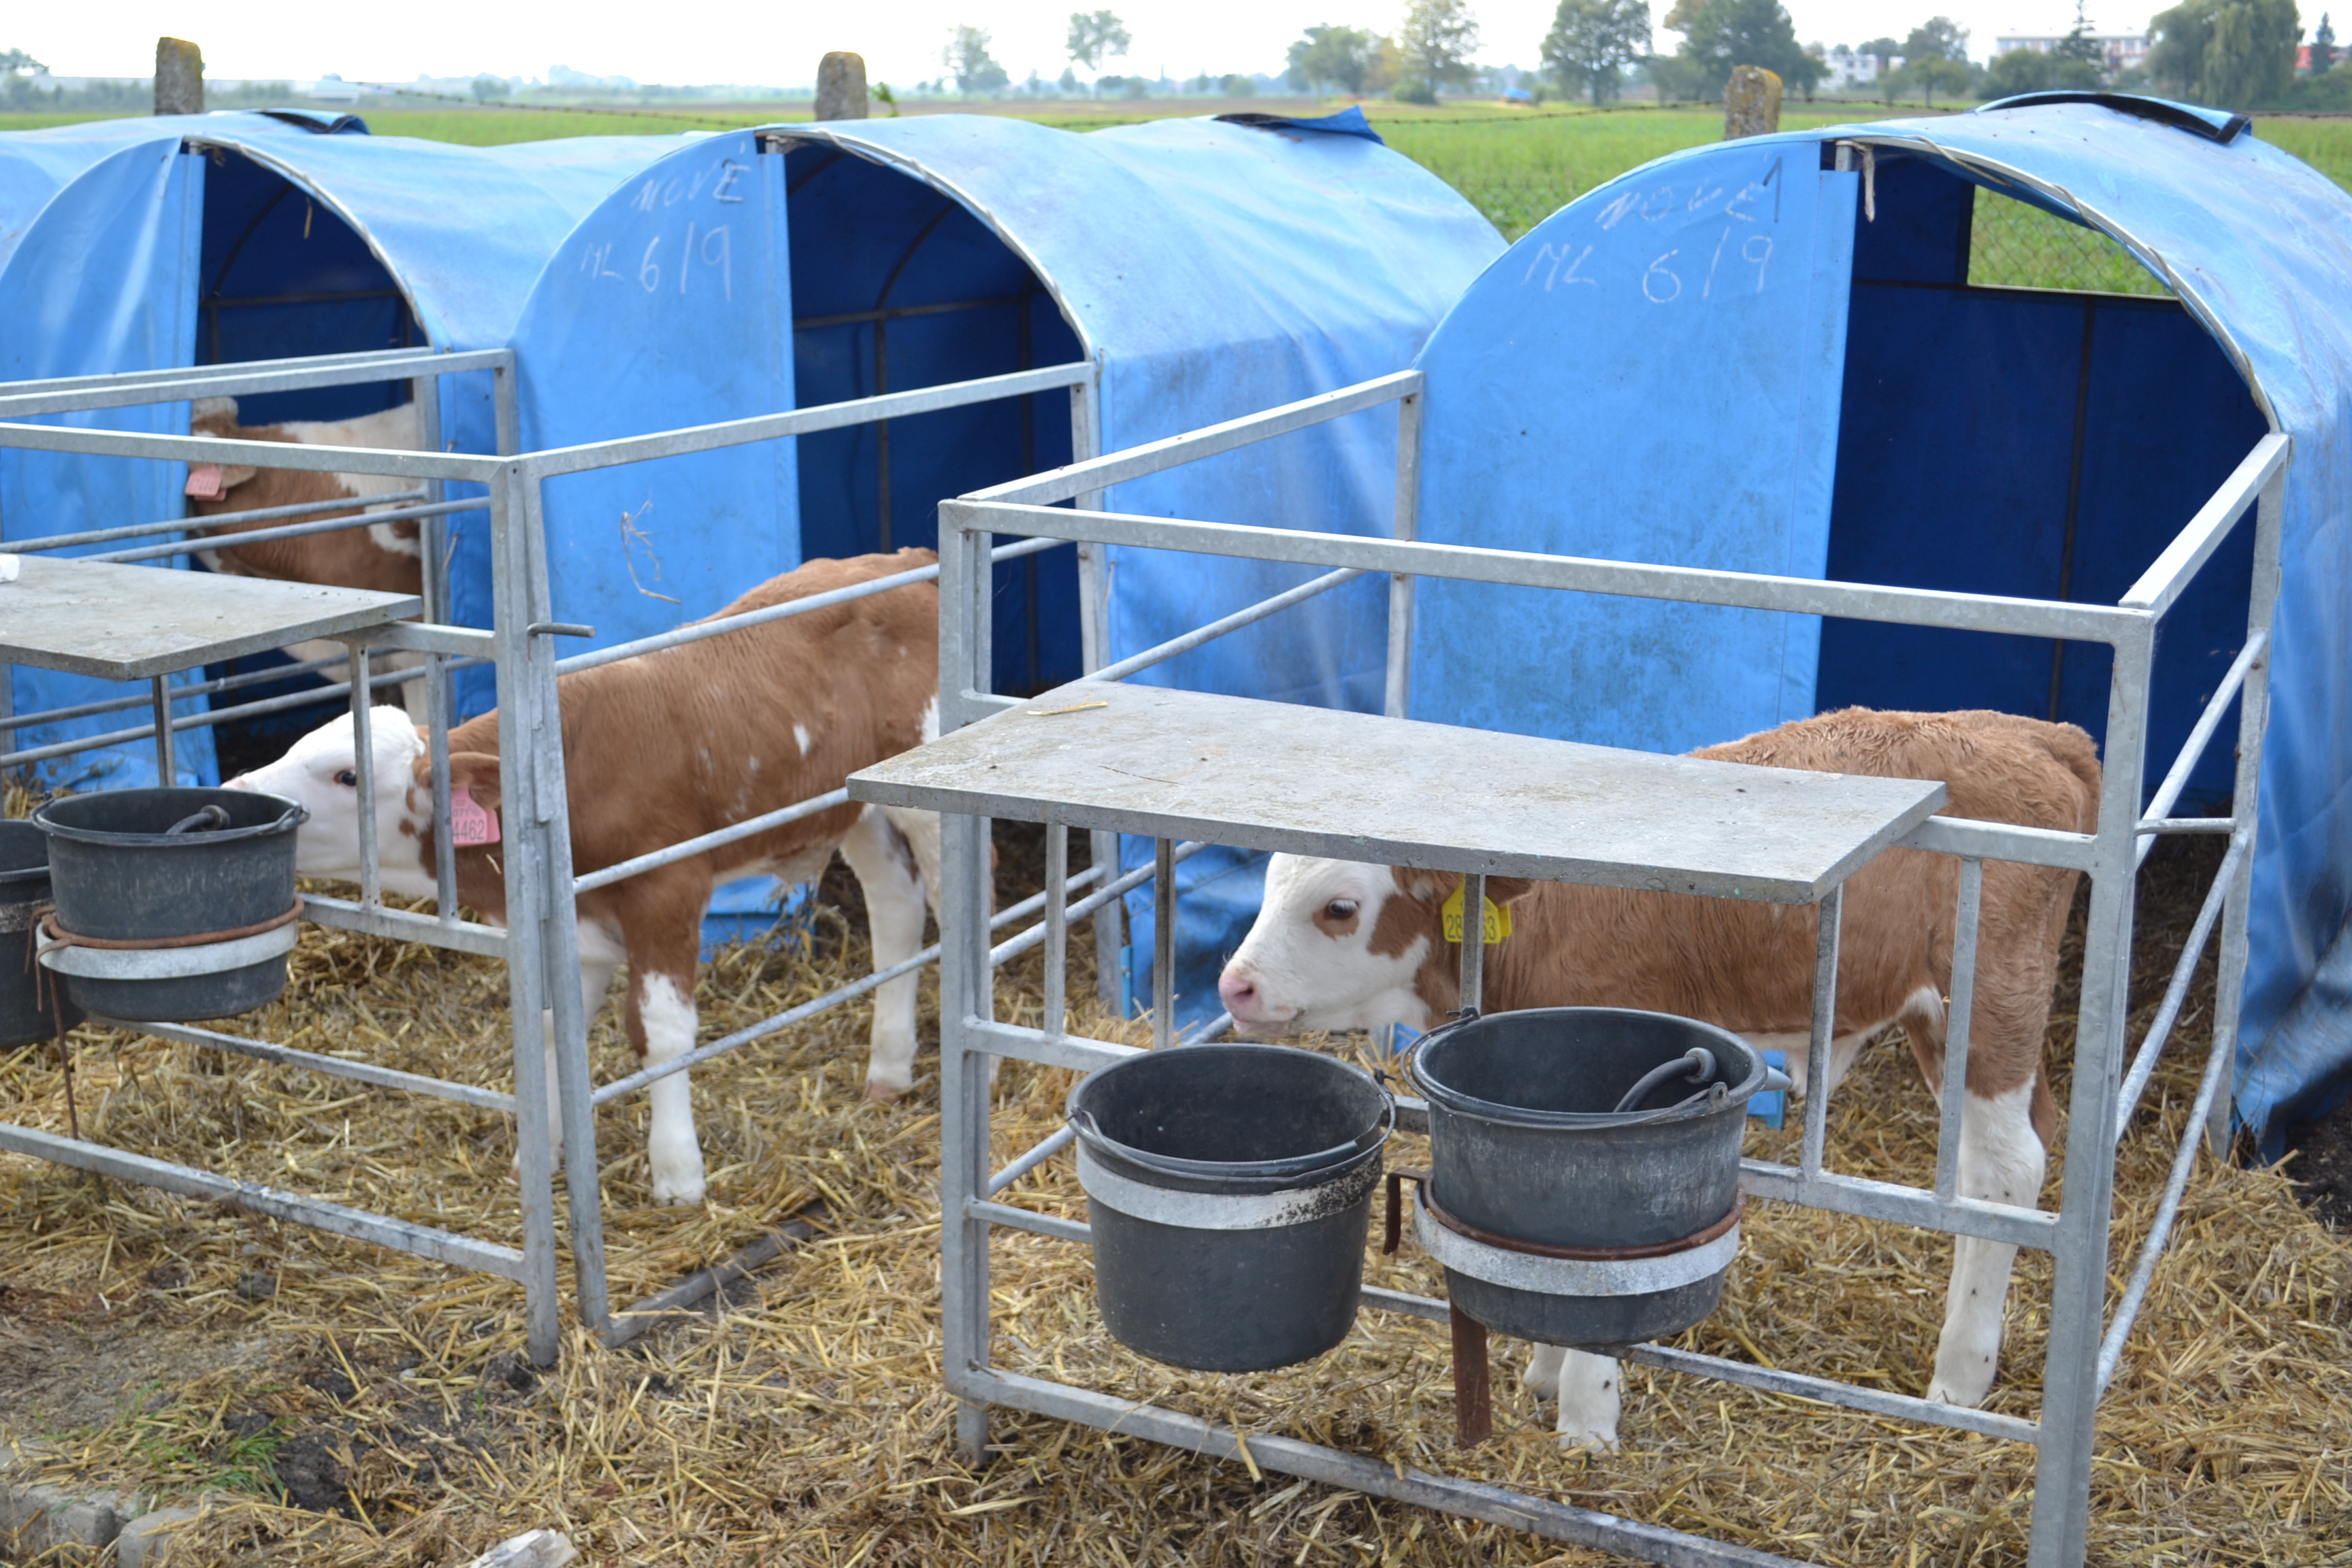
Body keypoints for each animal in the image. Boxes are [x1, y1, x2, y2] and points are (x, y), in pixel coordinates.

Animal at [228, 550, 946, 1207]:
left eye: (347, 775)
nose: (234, 793)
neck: (557, 778)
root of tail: (900, 560)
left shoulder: (668, 886)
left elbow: (660, 1031)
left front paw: (678, 1176)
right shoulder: (571, 921)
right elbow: (551, 1028)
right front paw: (535, 1162)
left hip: (926, 804)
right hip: (856, 806)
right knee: (897, 907)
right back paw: (888, 1070)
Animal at [1215, 708, 2100, 1449]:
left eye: (1339, 907)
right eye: (1267, 885)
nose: (1235, 986)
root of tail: (2035, 732)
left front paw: (1585, 1421)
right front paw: (1544, 1371)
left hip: (1989, 998)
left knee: (2007, 1168)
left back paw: (1961, 1374)